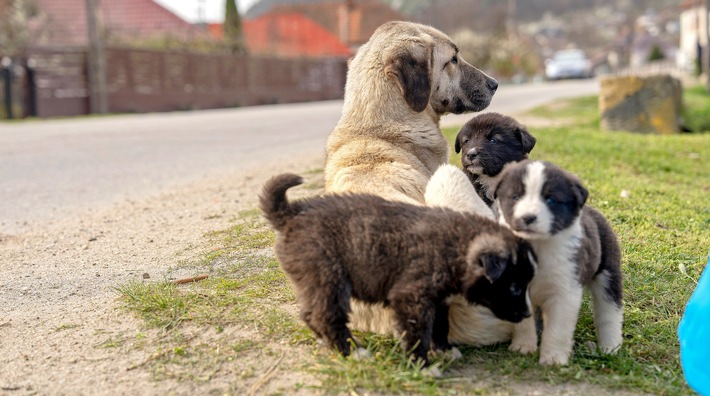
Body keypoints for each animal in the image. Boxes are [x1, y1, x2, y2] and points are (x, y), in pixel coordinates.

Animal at [496, 160, 624, 366]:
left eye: (550, 199)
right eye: (515, 196)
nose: (528, 217)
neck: (537, 247)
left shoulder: (565, 292)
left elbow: (557, 330)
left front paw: (553, 359)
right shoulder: (516, 288)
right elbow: (524, 322)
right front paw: (523, 346)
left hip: (608, 272)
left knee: (609, 311)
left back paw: (610, 347)